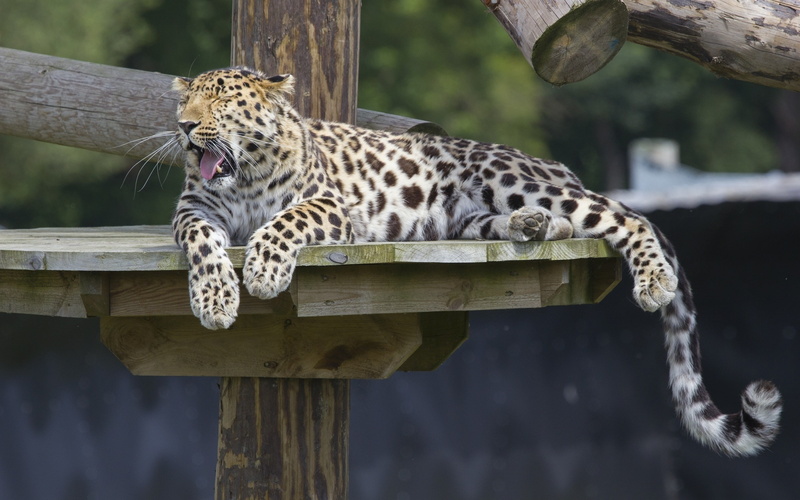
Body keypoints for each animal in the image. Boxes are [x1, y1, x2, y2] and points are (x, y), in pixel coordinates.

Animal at [168, 67, 781, 457]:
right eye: (185, 102)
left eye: (220, 102)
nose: (183, 127)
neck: (244, 176)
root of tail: (558, 168)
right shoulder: (194, 210)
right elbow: (202, 242)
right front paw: (215, 299)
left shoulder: (329, 205)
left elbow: (282, 225)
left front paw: (262, 272)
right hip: (469, 218)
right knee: (554, 223)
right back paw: (532, 227)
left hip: (507, 178)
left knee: (623, 218)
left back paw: (652, 278)